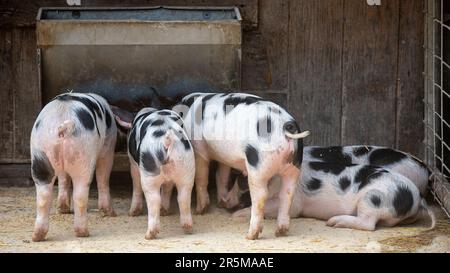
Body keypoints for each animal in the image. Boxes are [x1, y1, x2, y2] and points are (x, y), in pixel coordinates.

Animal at [30, 92, 117, 241]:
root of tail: (64, 125)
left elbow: (64, 179)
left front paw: (63, 209)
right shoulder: (108, 147)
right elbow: (103, 177)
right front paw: (111, 214)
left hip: (40, 154)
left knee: (43, 197)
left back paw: (37, 236)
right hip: (83, 156)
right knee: (80, 195)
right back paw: (84, 232)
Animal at [112, 107, 193, 239]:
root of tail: (167, 140)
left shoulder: (133, 163)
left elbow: (136, 182)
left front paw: (132, 213)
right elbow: (167, 187)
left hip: (149, 170)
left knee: (154, 199)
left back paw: (149, 235)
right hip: (186, 166)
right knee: (183, 197)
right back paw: (187, 227)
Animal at [172, 92, 310, 238]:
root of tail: (287, 126)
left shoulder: (199, 147)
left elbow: (201, 177)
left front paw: (200, 211)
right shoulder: (224, 156)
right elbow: (221, 176)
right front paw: (221, 203)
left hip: (258, 165)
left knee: (261, 195)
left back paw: (250, 236)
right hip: (294, 166)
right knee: (287, 194)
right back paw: (280, 232)